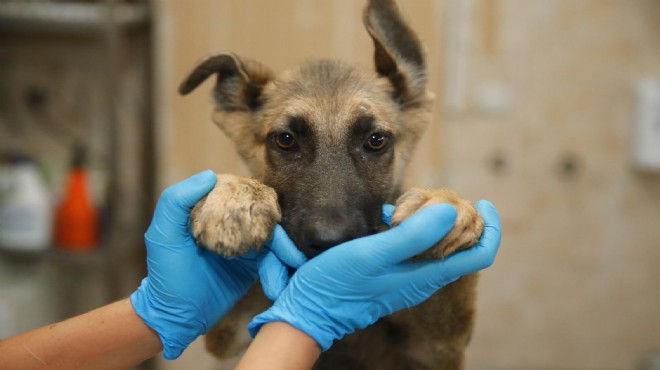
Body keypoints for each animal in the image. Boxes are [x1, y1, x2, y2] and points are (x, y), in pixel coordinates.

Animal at [180, 0, 484, 368]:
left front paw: (447, 207)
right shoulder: (229, 338)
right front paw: (234, 196)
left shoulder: (439, 349)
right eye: (285, 140)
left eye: (376, 141)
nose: (329, 241)